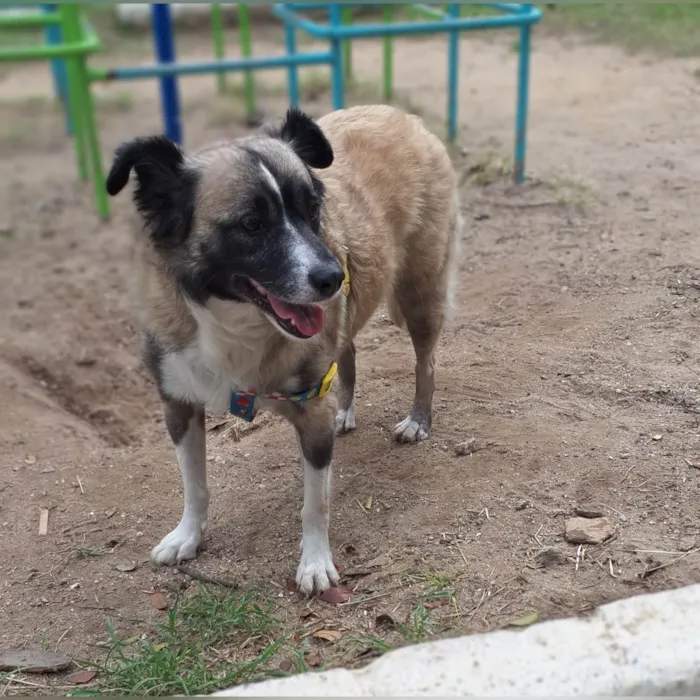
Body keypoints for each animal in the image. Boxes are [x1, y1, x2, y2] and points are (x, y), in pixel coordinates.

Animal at [106, 105, 462, 596]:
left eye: (312, 209)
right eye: (252, 224)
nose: (333, 278)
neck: (234, 322)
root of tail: (396, 112)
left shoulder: (310, 411)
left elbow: (315, 504)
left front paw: (314, 563)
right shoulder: (178, 402)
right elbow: (194, 485)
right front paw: (188, 536)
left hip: (420, 294)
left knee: (425, 362)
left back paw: (418, 421)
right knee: (348, 352)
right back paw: (345, 411)